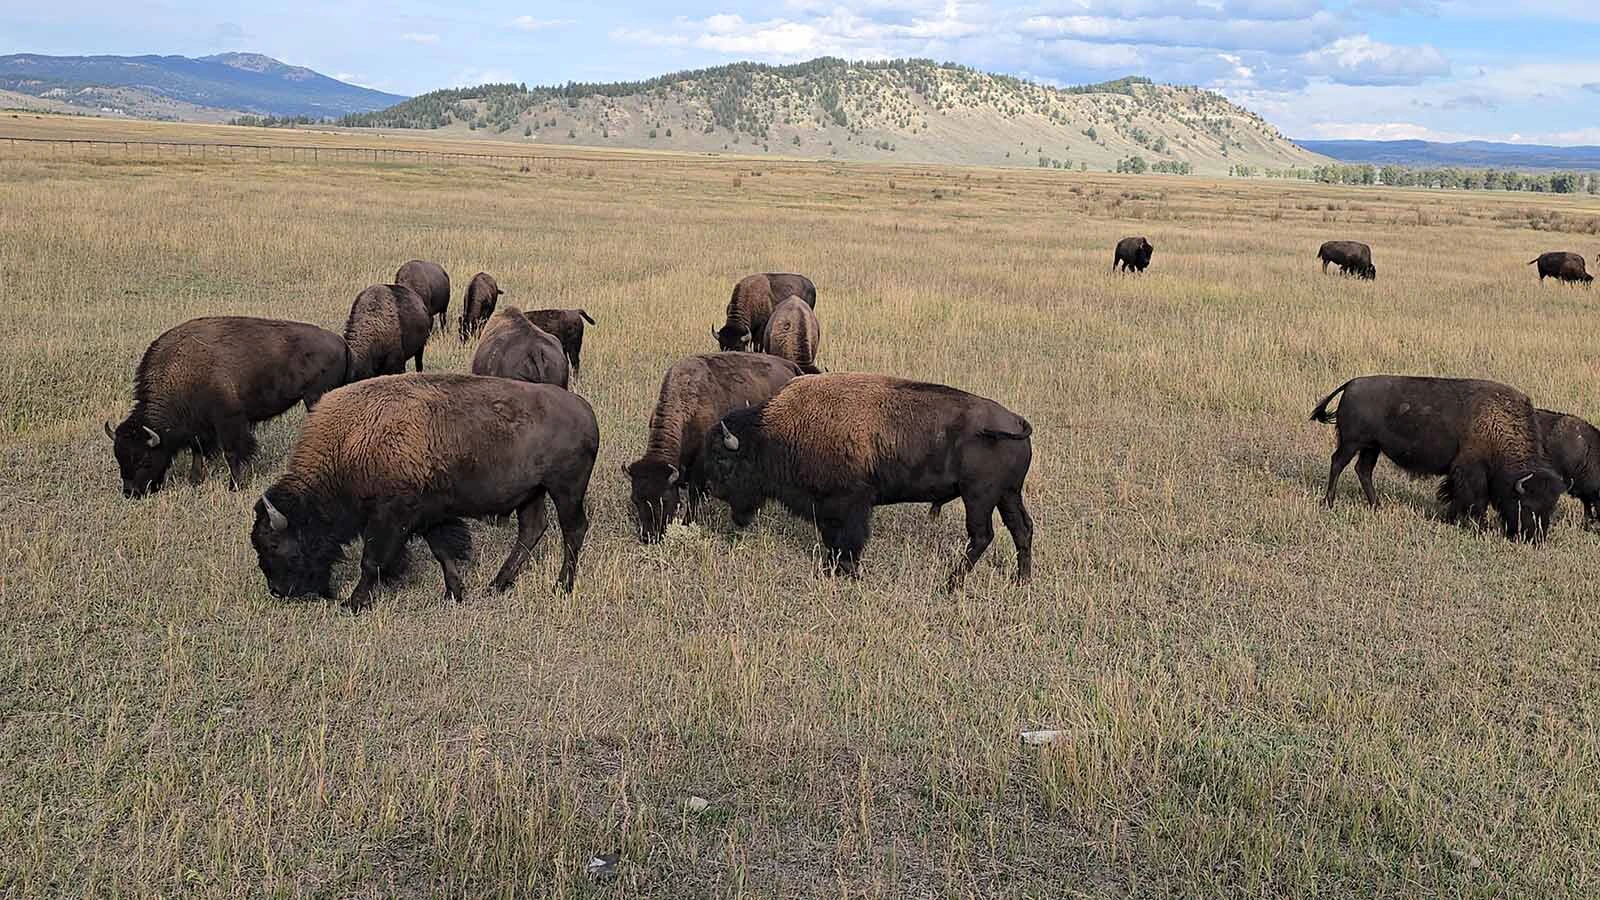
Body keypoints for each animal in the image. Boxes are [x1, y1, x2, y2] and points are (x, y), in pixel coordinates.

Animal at [105, 316, 347, 497]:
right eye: (119, 457)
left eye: (145, 459)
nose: (131, 493)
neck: (183, 372)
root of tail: (342, 344)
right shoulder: (199, 427)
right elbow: (198, 451)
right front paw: (195, 480)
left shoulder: (229, 421)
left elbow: (231, 453)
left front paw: (234, 486)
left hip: (314, 397)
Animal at [252, 373, 599, 610]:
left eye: (274, 544)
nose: (277, 590)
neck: (350, 444)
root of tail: (584, 409)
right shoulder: (429, 515)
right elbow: (442, 552)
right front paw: (454, 593)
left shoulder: (391, 516)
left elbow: (372, 561)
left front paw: (353, 603)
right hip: (532, 492)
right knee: (532, 529)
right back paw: (497, 585)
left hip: (565, 489)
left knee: (573, 529)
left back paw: (561, 586)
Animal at [624, 352, 801, 542]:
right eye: (635, 499)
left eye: (664, 498)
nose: (649, 536)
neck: (688, 405)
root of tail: (790, 367)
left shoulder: (699, 466)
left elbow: (694, 495)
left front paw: (687, 522)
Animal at [702, 373, 1033, 589]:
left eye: (722, 458)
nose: (711, 489)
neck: (773, 434)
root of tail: (1015, 421)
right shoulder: (828, 509)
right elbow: (831, 539)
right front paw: (832, 569)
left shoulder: (851, 503)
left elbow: (850, 540)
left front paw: (850, 572)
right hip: (1007, 494)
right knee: (1021, 529)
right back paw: (1021, 581)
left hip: (978, 496)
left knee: (982, 536)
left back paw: (950, 584)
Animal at [1311, 375, 1563, 540]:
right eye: (1526, 505)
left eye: (1550, 507)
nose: (1535, 538)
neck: (1498, 426)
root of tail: (1351, 384)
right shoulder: (1471, 471)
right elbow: (1475, 499)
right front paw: (1478, 526)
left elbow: (1455, 495)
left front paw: (1450, 519)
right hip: (1351, 443)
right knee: (1338, 463)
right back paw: (1329, 502)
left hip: (1371, 447)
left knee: (1363, 471)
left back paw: (1377, 506)